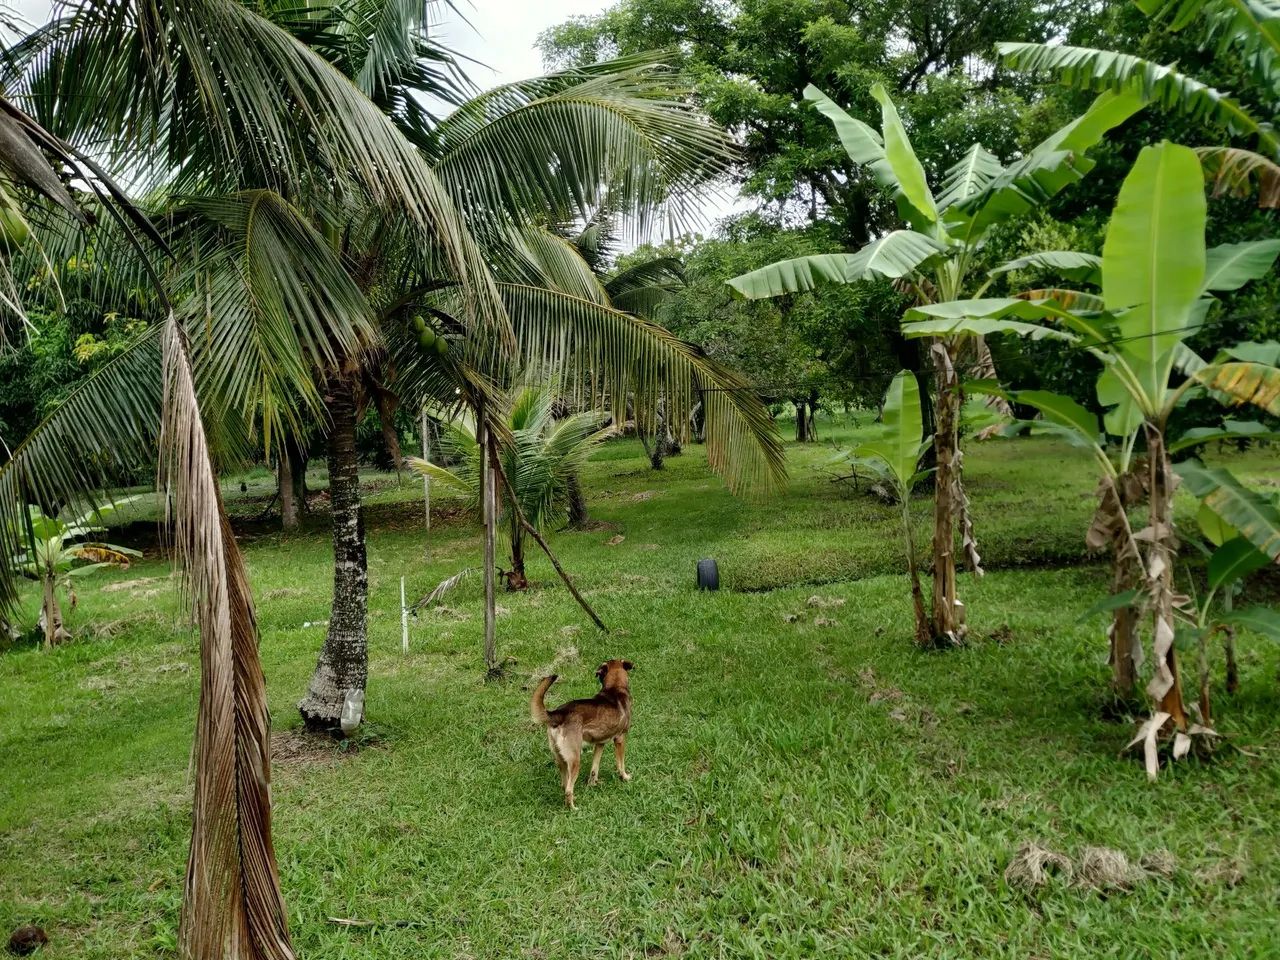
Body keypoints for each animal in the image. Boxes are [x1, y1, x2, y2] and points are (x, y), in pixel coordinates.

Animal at [527, 660, 632, 808]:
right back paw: (573, 808)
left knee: (564, 785)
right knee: (568, 789)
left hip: (561, 759)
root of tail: (559, 713)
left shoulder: (600, 743)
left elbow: (594, 767)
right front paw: (625, 777)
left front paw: (593, 784)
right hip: (575, 760)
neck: (614, 688)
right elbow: (620, 764)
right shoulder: (620, 738)